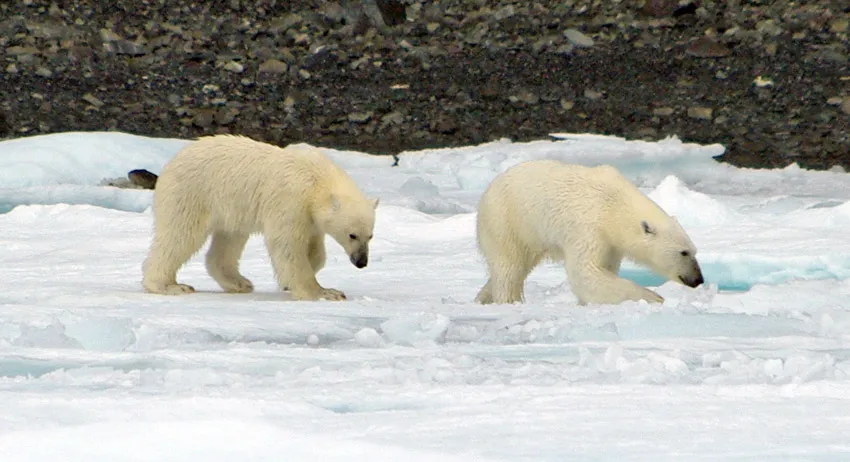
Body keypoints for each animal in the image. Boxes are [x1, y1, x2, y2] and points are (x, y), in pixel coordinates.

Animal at [142, 134, 378, 300]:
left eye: (370, 236)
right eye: (352, 235)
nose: (361, 262)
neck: (317, 179)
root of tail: (169, 165)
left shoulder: (309, 216)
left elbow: (315, 249)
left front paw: (291, 280)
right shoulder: (290, 201)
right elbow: (287, 244)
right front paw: (324, 292)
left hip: (230, 208)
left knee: (229, 240)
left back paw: (239, 283)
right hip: (191, 194)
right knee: (180, 235)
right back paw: (169, 286)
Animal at [470, 160, 704, 306]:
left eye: (694, 251)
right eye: (684, 252)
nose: (698, 279)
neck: (614, 206)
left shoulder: (611, 243)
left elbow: (604, 268)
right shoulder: (588, 227)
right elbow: (585, 272)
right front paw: (654, 297)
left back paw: (482, 297)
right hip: (507, 222)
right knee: (509, 268)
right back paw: (509, 301)